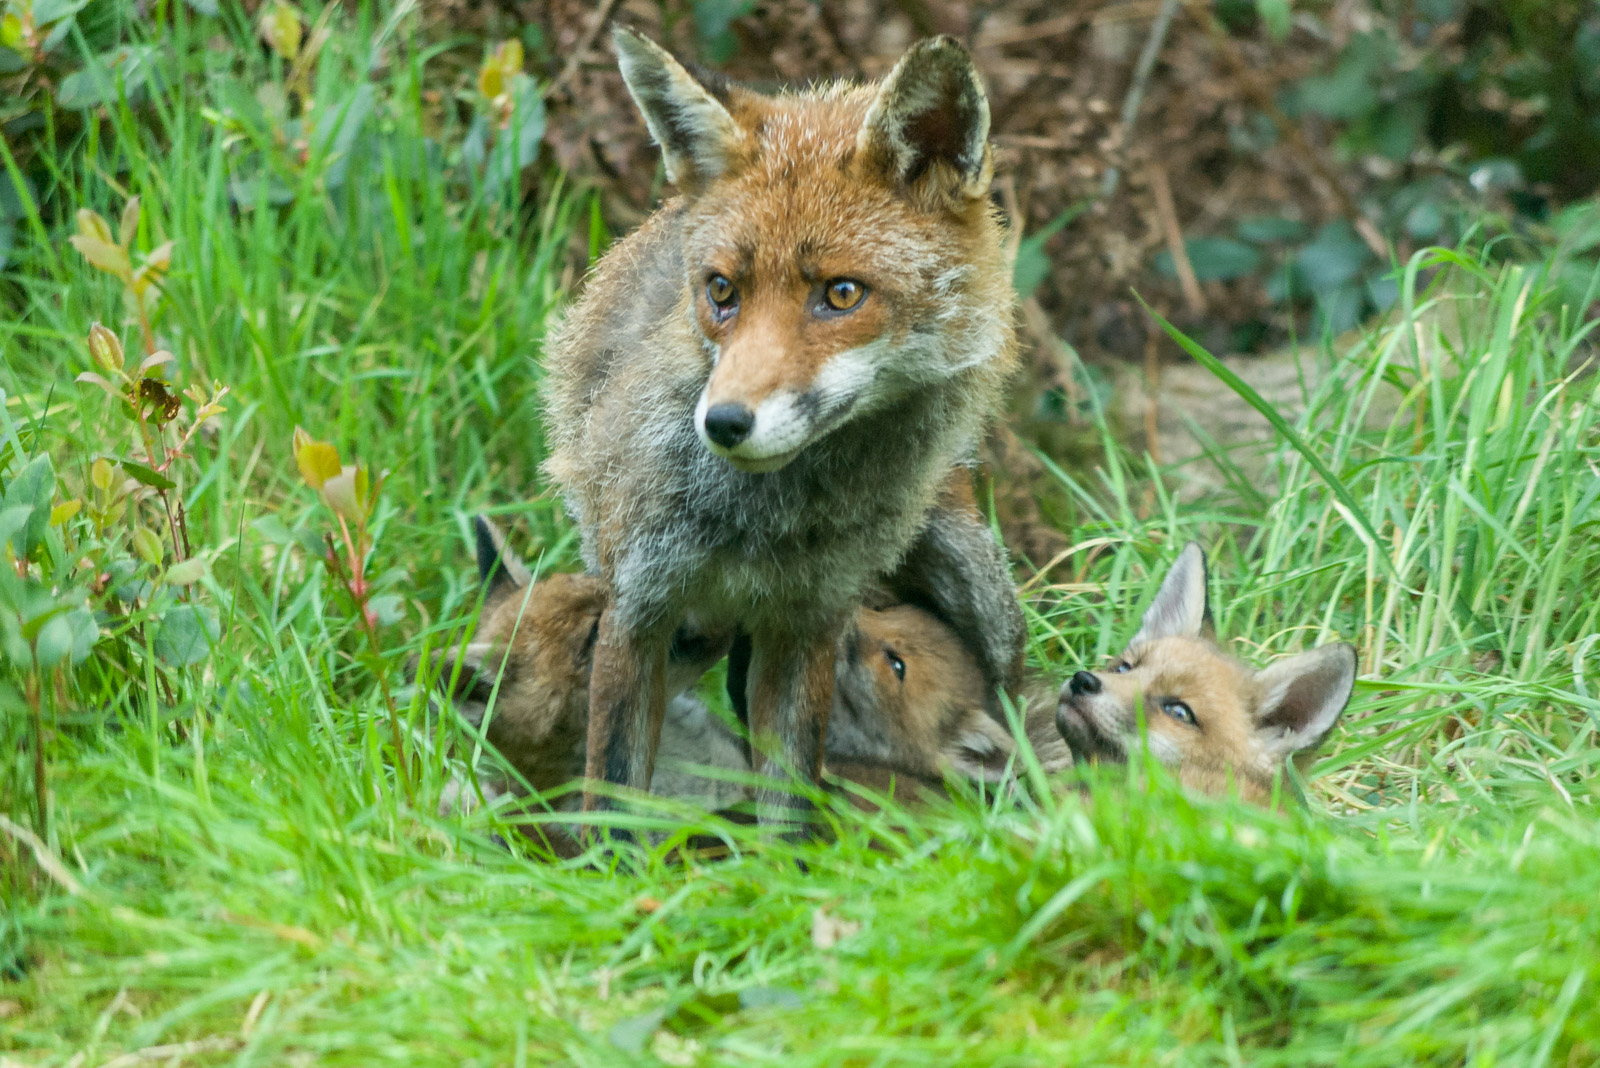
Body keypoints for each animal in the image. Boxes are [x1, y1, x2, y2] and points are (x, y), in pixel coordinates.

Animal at [541, 29, 1021, 826]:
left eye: (842, 294)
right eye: (721, 291)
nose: (724, 423)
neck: (764, 524)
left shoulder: (809, 624)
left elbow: (790, 808)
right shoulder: (638, 607)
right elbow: (613, 796)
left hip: (985, 596)